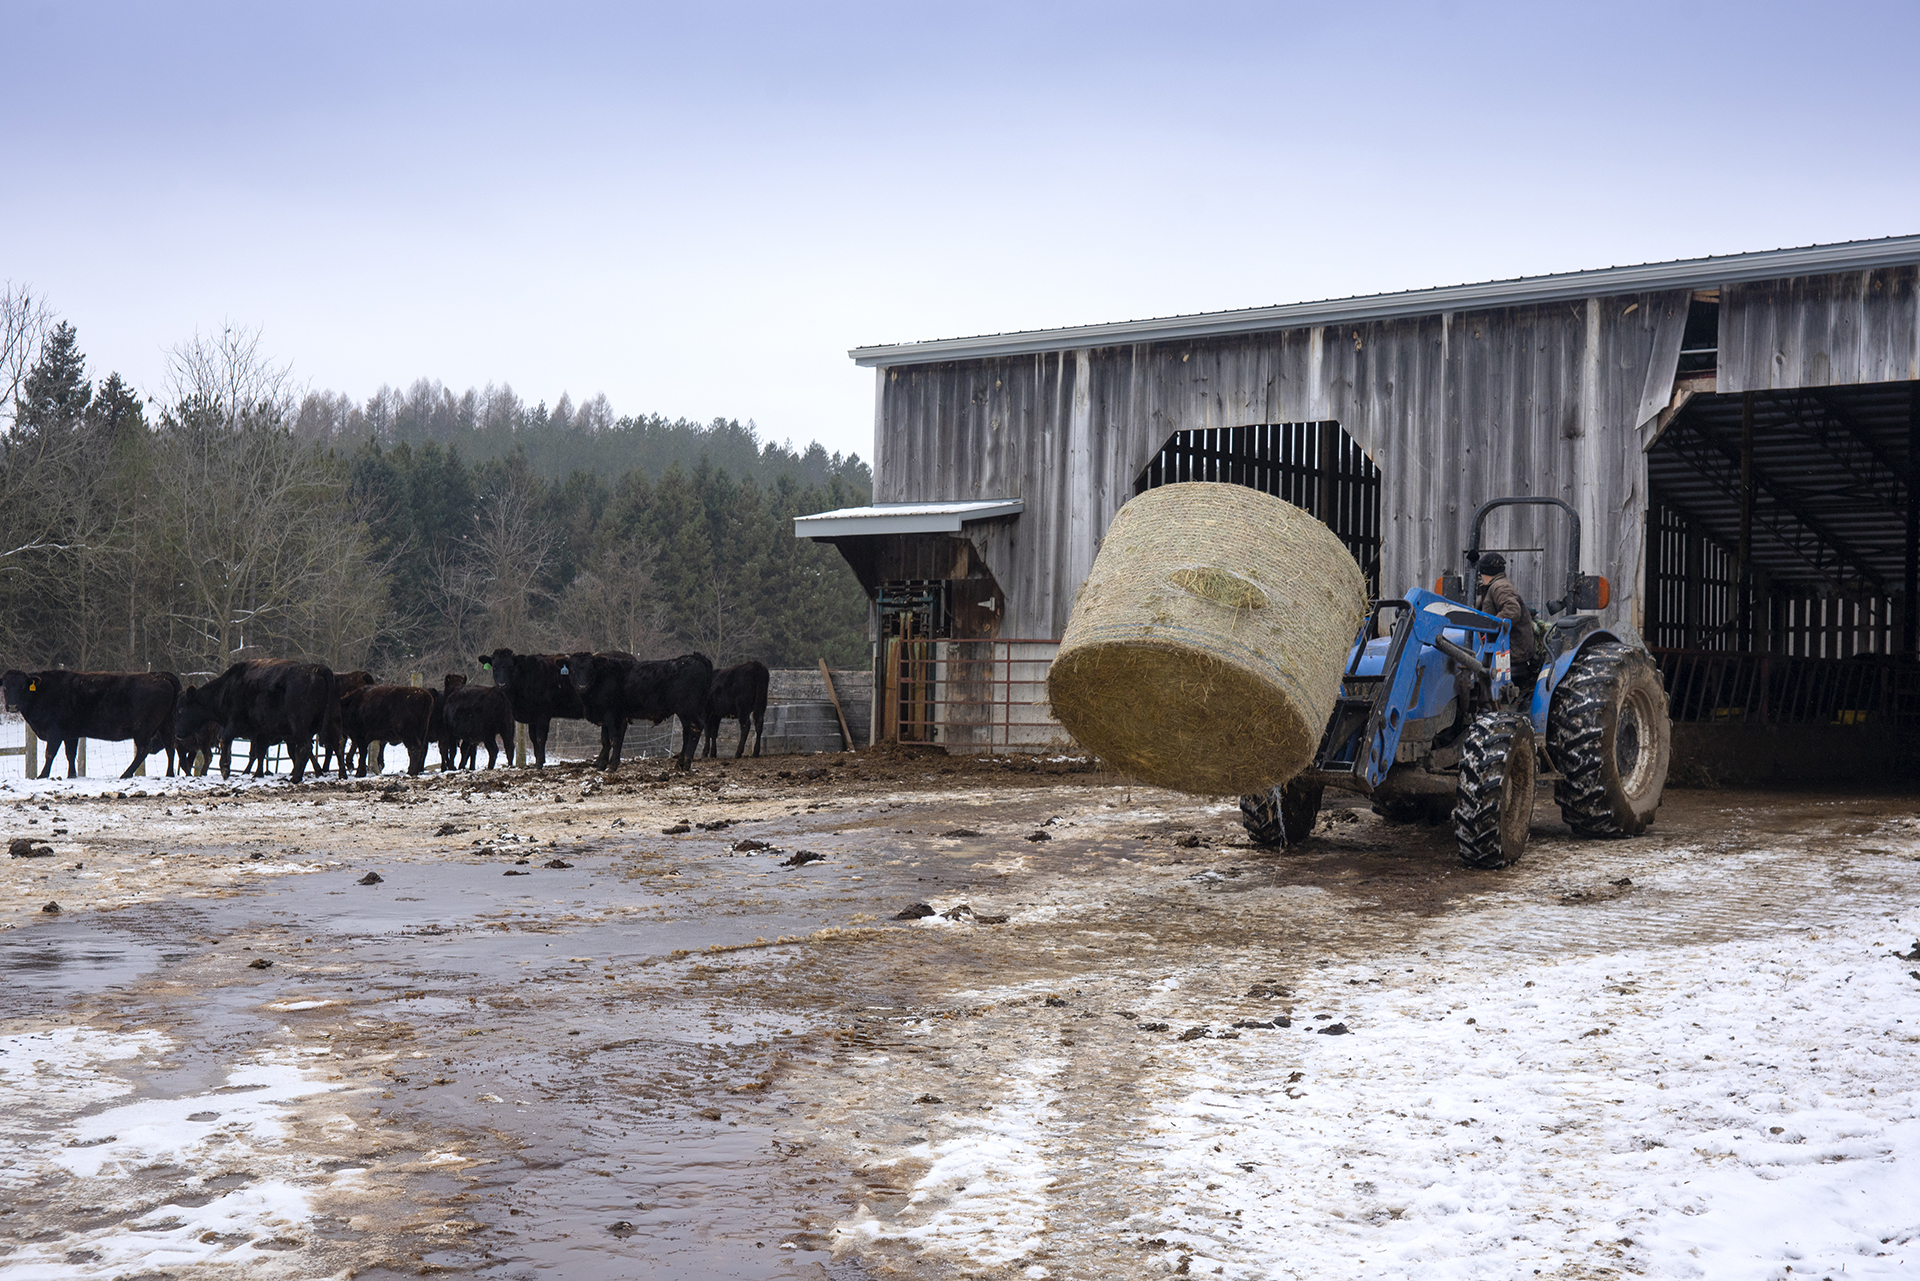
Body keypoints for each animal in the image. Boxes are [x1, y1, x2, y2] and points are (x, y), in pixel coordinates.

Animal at [1, 672, 180, 783]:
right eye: (5, 687)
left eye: (22, 686)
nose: (12, 706)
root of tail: (159, 675)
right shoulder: (70, 734)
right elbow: (70, 754)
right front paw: (72, 775)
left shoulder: (55, 733)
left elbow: (50, 754)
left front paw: (42, 775)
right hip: (166, 725)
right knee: (170, 747)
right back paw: (169, 774)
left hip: (143, 729)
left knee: (144, 750)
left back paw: (126, 774)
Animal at [174, 660, 339, 783]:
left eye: (181, 709)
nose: (177, 734)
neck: (227, 688)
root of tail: (317, 670)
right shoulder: (261, 731)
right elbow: (259, 752)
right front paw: (258, 773)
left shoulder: (234, 723)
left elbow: (226, 741)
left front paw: (225, 769)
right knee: (309, 749)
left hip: (298, 725)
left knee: (304, 748)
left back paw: (296, 778)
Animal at [560, 652, 714, 772]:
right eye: (573, 669)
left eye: (591, 669)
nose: (582, 686)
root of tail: (695, 657)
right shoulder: (608, 716)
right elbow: (605, 740)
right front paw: (601, 765)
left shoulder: (612, 715)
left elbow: (614, 739)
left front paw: (612, 766)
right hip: (687, 711)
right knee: (687, 732)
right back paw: (679, 764)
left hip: (687, 708)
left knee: (695, 727)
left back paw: (686, 764)